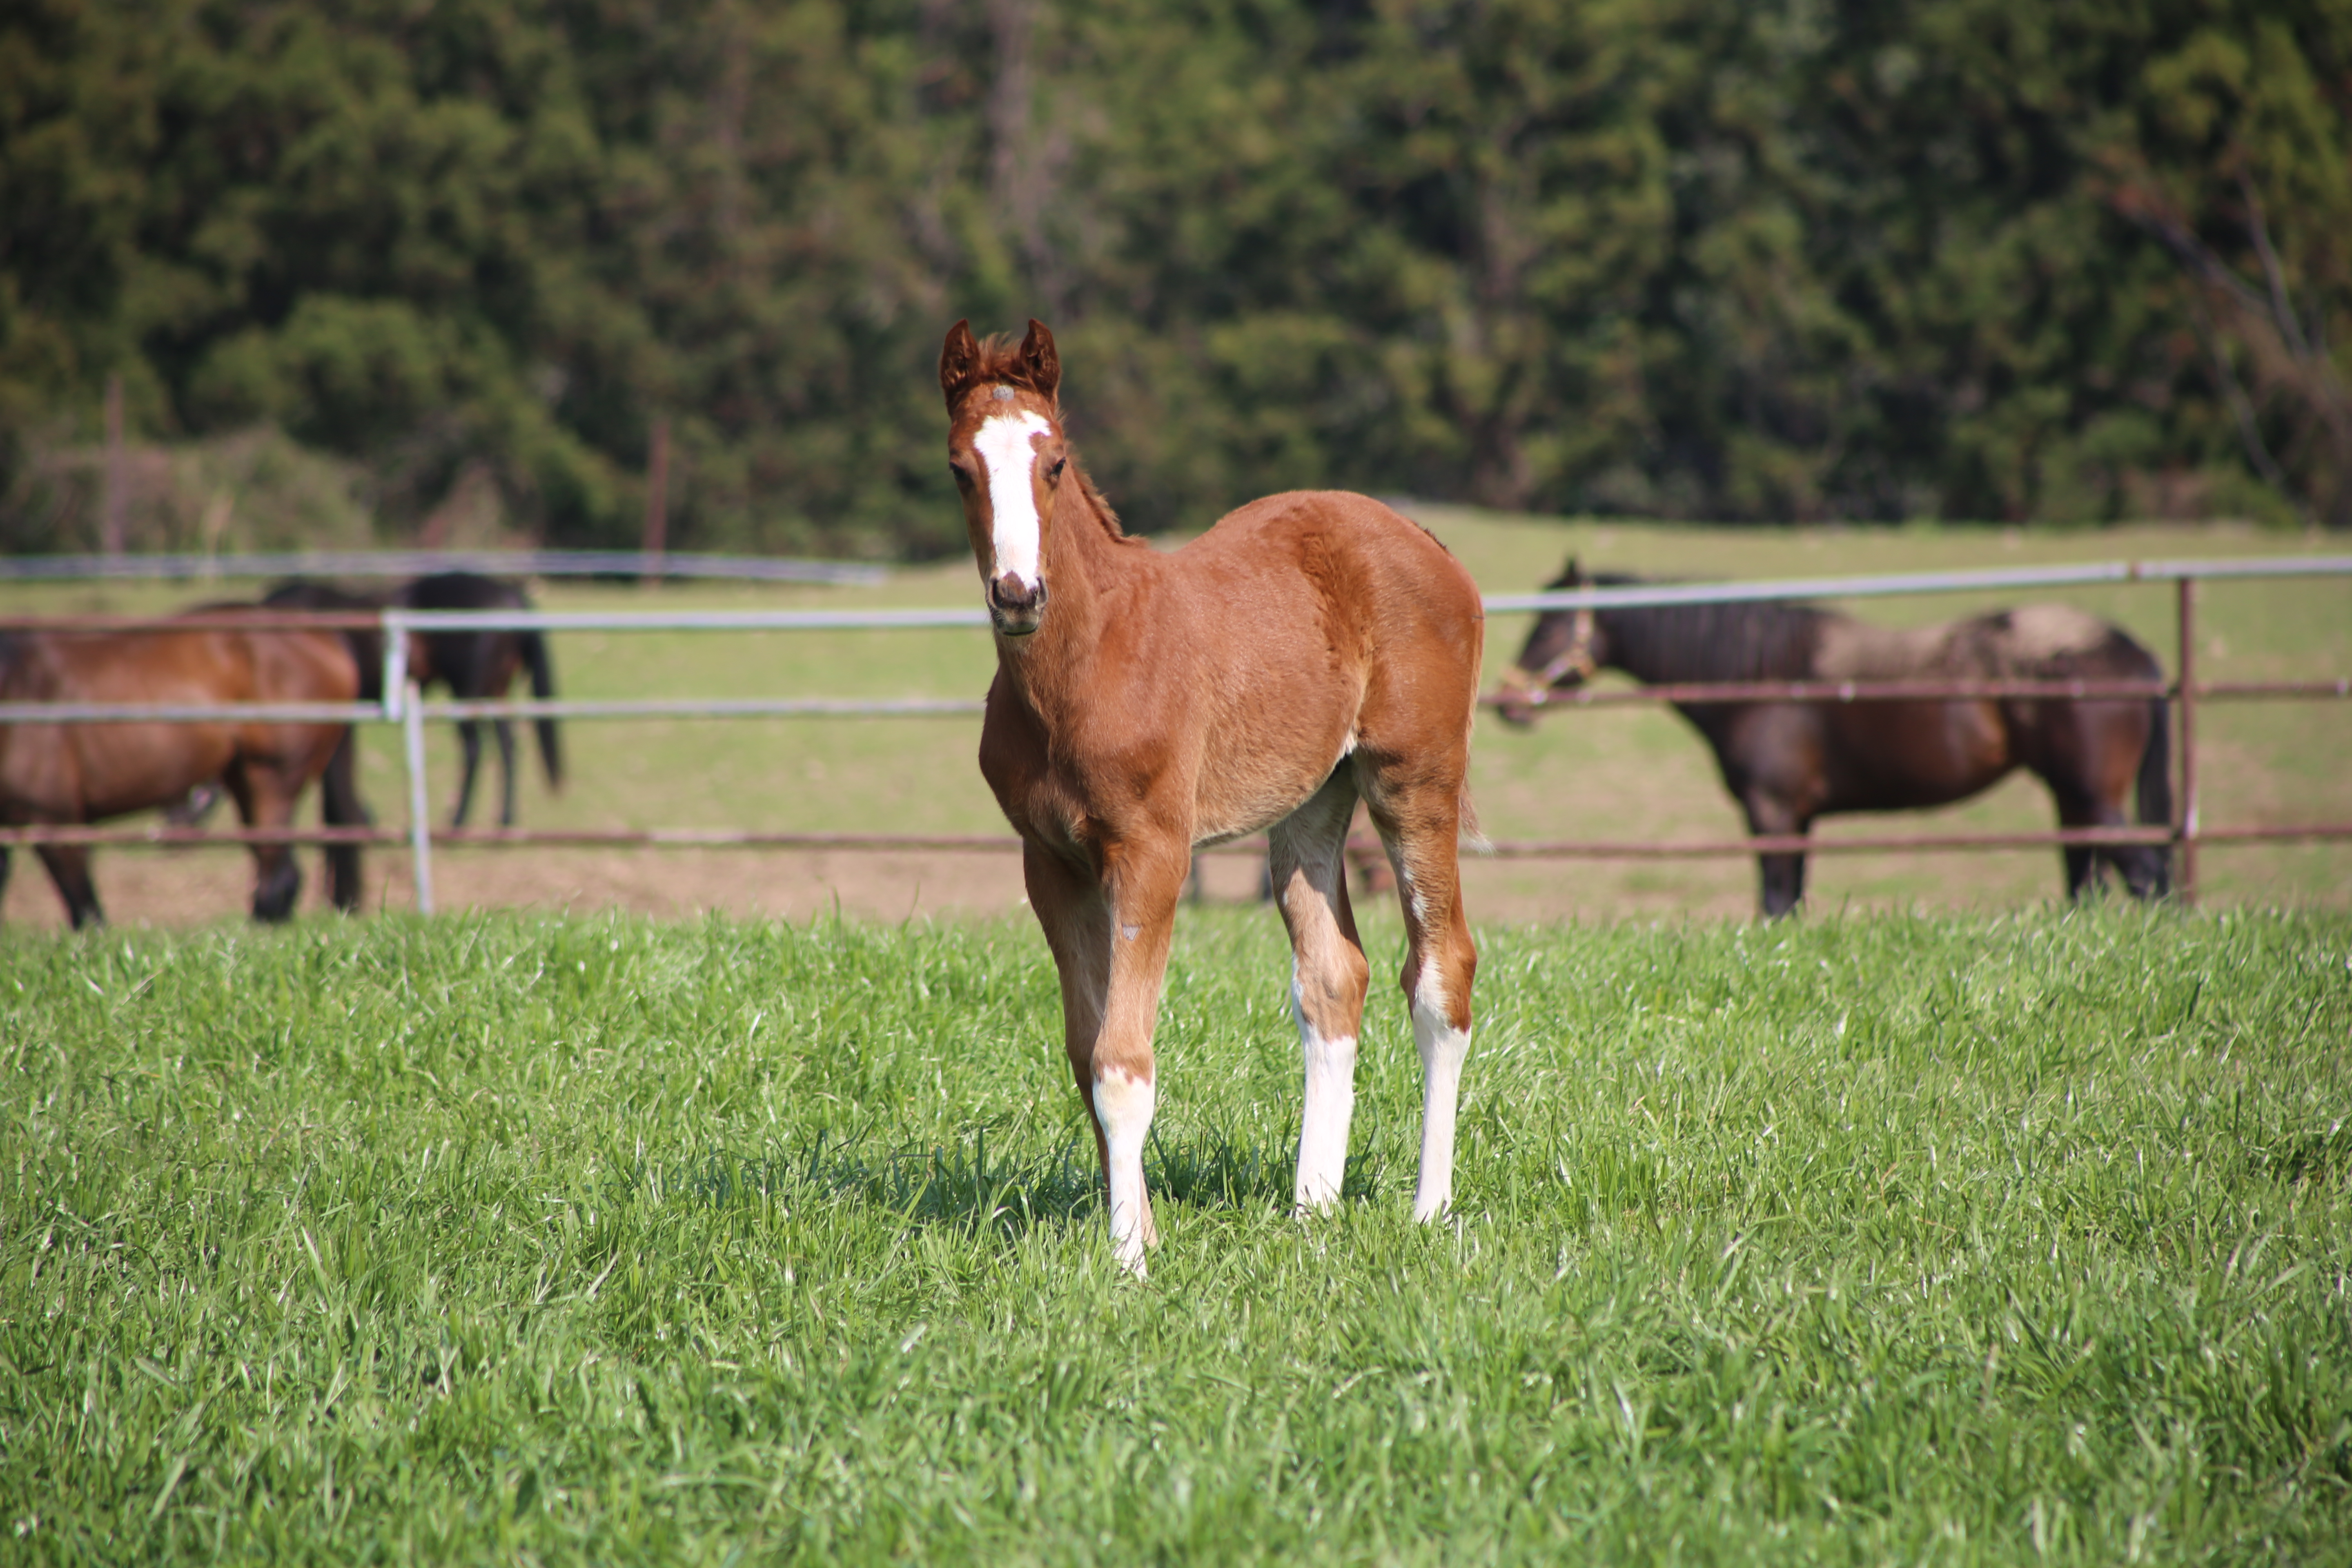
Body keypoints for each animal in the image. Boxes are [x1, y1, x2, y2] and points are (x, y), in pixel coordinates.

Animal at [0, 611, 372, 931]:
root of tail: (326, 638)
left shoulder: (54, 818)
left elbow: (85, 910)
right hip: (243, 778)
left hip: (272, 777)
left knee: (277, 875)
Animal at [941, 319, 1477, 1278]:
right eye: (961, 468)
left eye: (1055, 460)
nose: (1017, 594)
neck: (1088, 661)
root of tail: (1426, 540)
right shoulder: (1052, 864)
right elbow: (1086, 1051)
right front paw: (1141, 1229)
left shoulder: (1152, 852)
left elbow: (1123, 1061)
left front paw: (1129, 1262)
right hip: (1311, 804)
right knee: (1334, 978)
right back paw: (1312, 1213)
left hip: (1414, 780)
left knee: (1442, 971)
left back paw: (1428, 1211)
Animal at [1496, 557, 2173, 921]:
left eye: (1550, 625)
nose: (1507, 700)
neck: (1762, 675)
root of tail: (2136, 654)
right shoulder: (1800, 818)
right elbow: (1791, 902)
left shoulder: (1773, 813)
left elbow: (1775, 900)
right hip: (2072, 800)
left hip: (2093, 795)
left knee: (2143, 873)